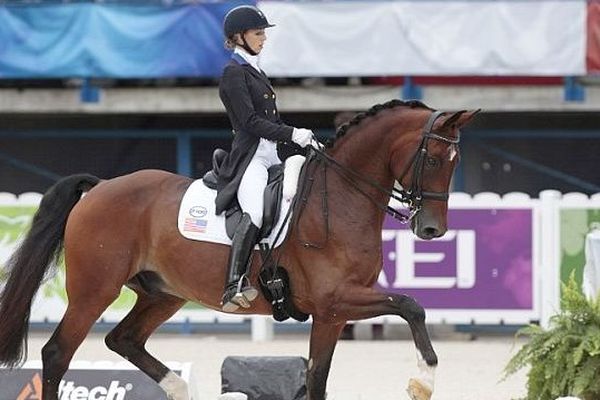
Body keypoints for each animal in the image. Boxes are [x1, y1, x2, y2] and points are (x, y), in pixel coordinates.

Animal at [0, 98, 478, 398]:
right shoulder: (334, 302)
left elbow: (320, 378)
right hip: (94, 290)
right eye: (434, 159)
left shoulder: (334, 313)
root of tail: (100, 187)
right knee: (57, 354)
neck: (341, 196)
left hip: (163, 294)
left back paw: (179, 389)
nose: (432, 229)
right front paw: (423, 382)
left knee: (124, 340)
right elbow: (412, 305)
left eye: (456, 164)